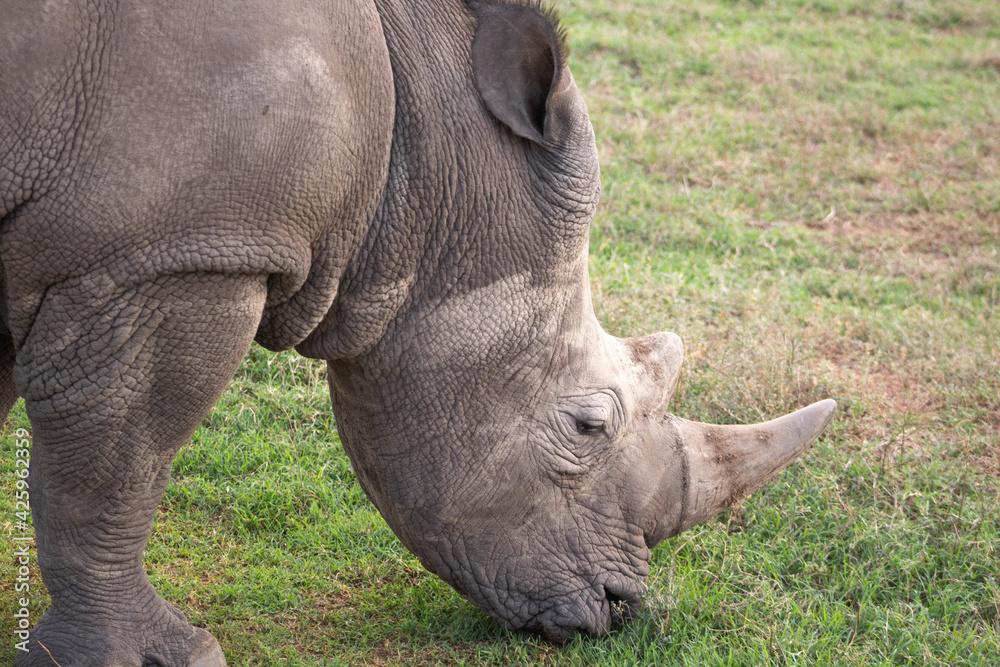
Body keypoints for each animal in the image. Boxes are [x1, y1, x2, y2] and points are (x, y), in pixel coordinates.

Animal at [1, 0, 835, 664]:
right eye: (588, 424)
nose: (620, 607)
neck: (422, 157)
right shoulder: (177, 255)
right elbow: (115, 470)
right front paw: (157, 656)